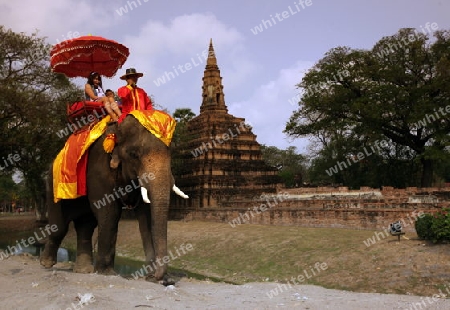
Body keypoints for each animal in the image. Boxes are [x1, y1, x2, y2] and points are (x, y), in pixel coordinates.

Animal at [38, 112, 186, 284]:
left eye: (170, 155)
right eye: (134, 155)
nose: (160, 279)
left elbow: (145, 214)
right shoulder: (99, 169)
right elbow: (110, 211)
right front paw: (106, 273)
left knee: (85, 226)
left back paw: (84, 270)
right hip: (53, 186)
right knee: (60, 225)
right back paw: (46, 263)